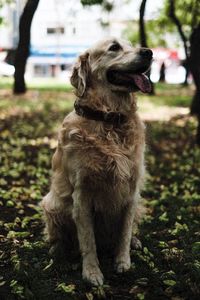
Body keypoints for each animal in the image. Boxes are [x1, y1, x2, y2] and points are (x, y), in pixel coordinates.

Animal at [41, 37, 152, 286]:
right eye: (114, 47)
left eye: (132, 44)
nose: (149, 52)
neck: (109, 121)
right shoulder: (82, 194)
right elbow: (88, 241)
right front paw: (92, 272)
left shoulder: (132, 191)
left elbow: (124, 233)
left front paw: (123, 261)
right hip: (52, 204)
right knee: (59, 236)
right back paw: (57, 250)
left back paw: (135, 241)